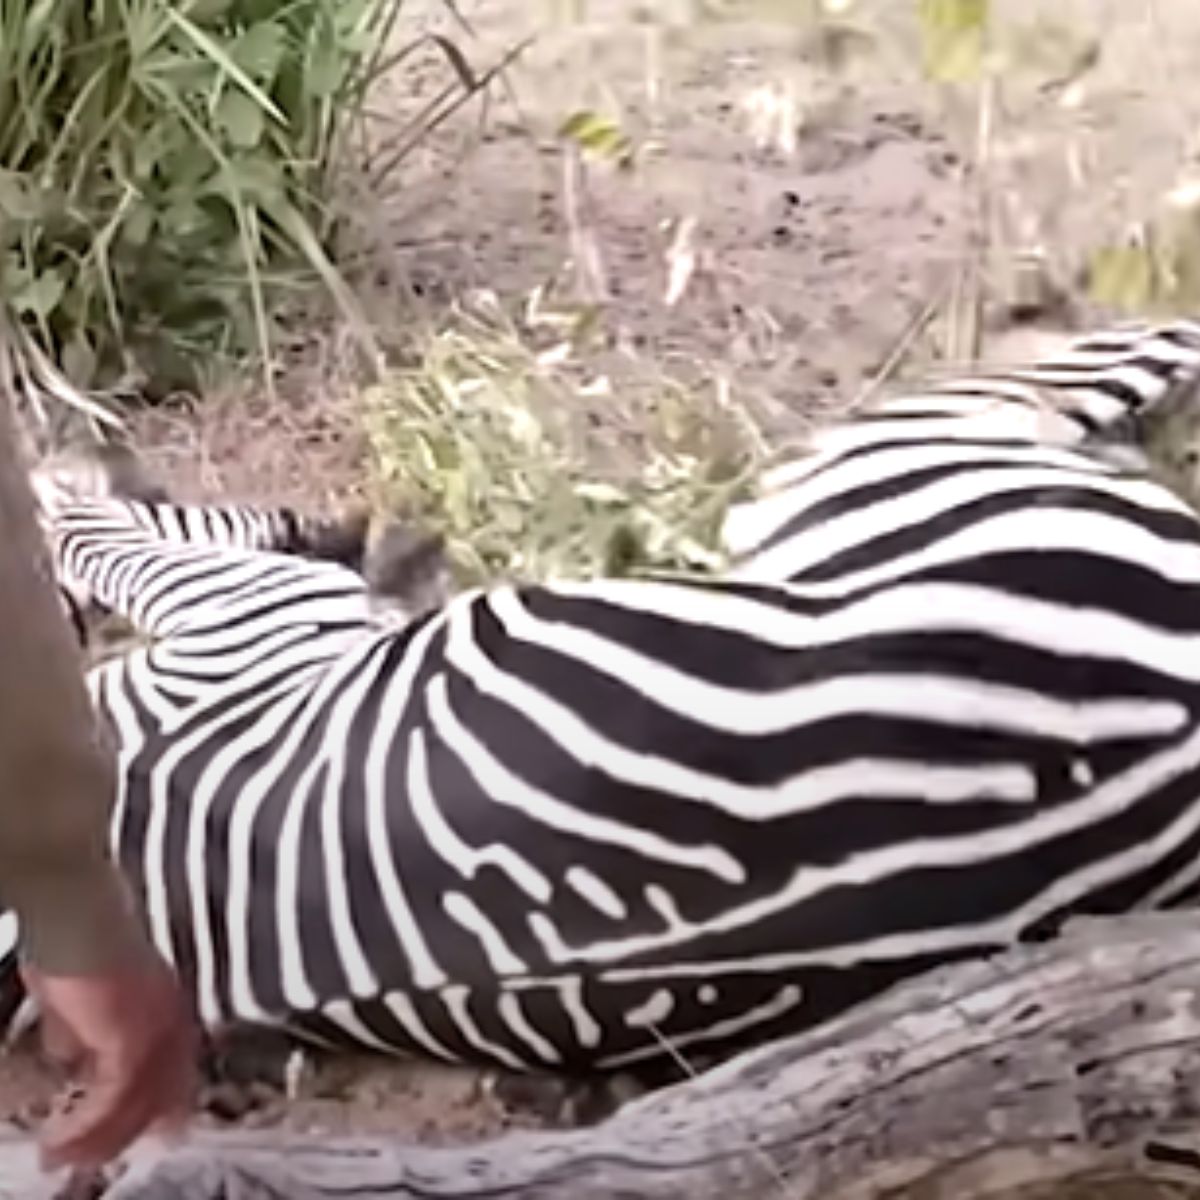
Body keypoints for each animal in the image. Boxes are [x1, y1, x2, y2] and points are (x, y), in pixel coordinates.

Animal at [16, 312, 1200, 1080]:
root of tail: (1162, 717)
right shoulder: (256, 619)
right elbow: (113, 541)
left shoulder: (252, 622)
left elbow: (115, 538)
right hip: (877, 464)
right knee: (1099, 363)